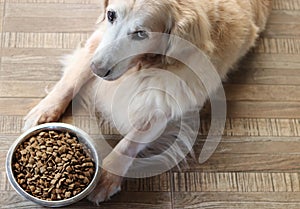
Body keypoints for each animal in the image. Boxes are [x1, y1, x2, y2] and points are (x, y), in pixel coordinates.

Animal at [23, 0, 272, 204]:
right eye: (111, 15)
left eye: (141, 33)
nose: (98, 69)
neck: (144, 64)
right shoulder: (98, 42)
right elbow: (71, 80)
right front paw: (44, 110)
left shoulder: (165, 106)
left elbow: (129, 142)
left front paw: (106, 176)